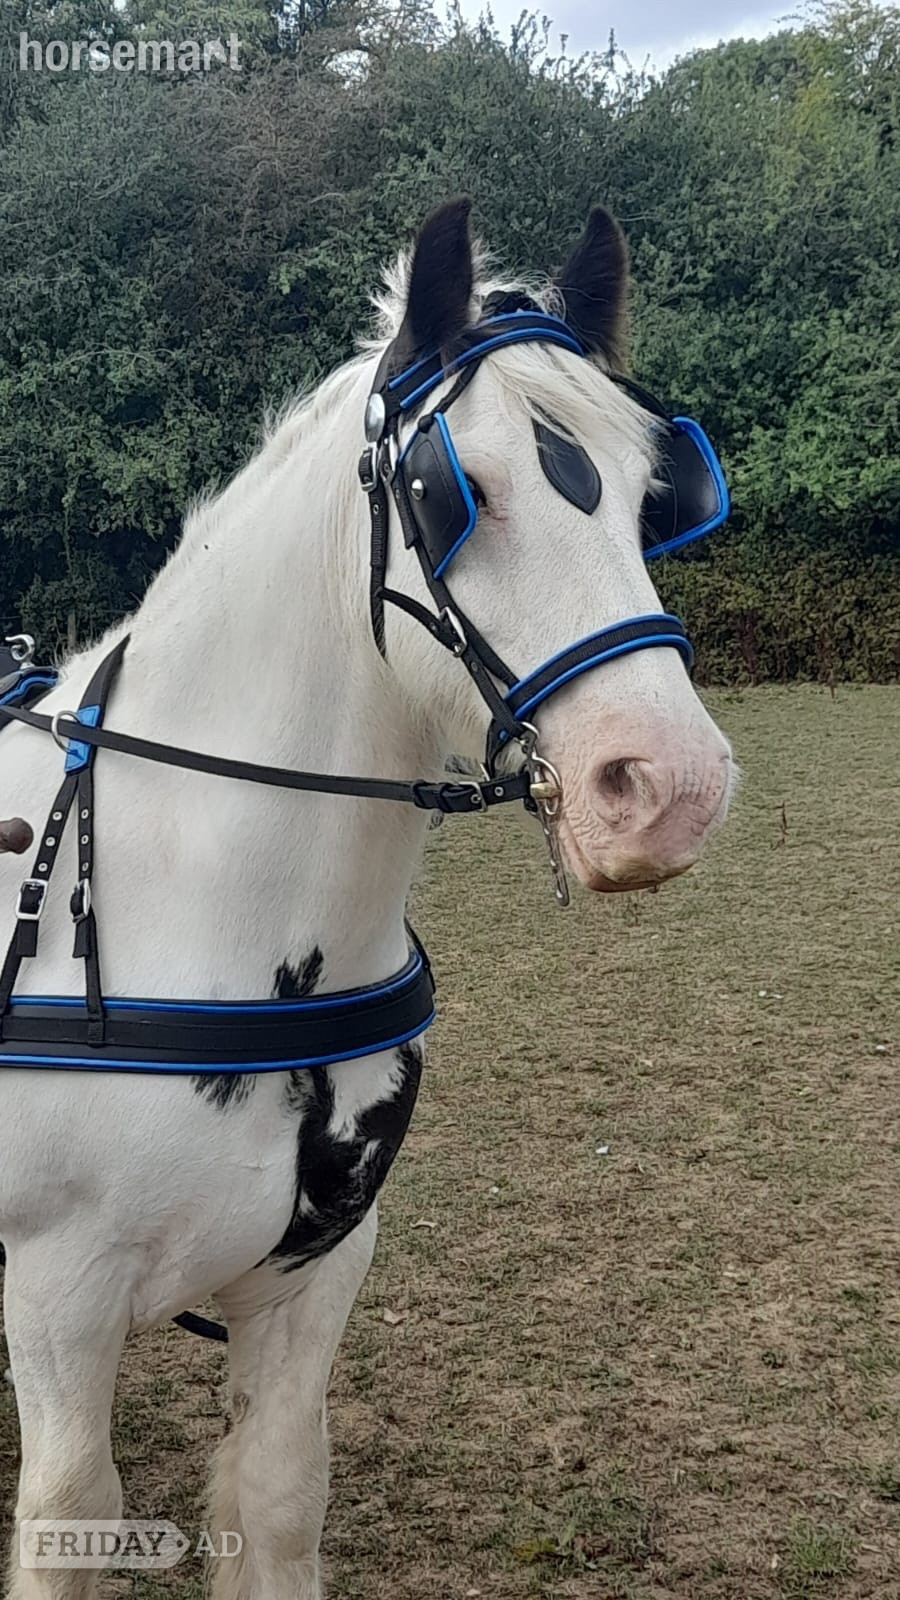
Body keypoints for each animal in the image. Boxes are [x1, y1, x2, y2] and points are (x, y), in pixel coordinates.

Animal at [0, 199, 735, 1600]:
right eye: (455, 490)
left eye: (651, 494)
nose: (669, 785)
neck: (194, 904)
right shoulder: (59, 1298)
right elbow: (69, 1515)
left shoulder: (319, 1271)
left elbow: (279, 1499)